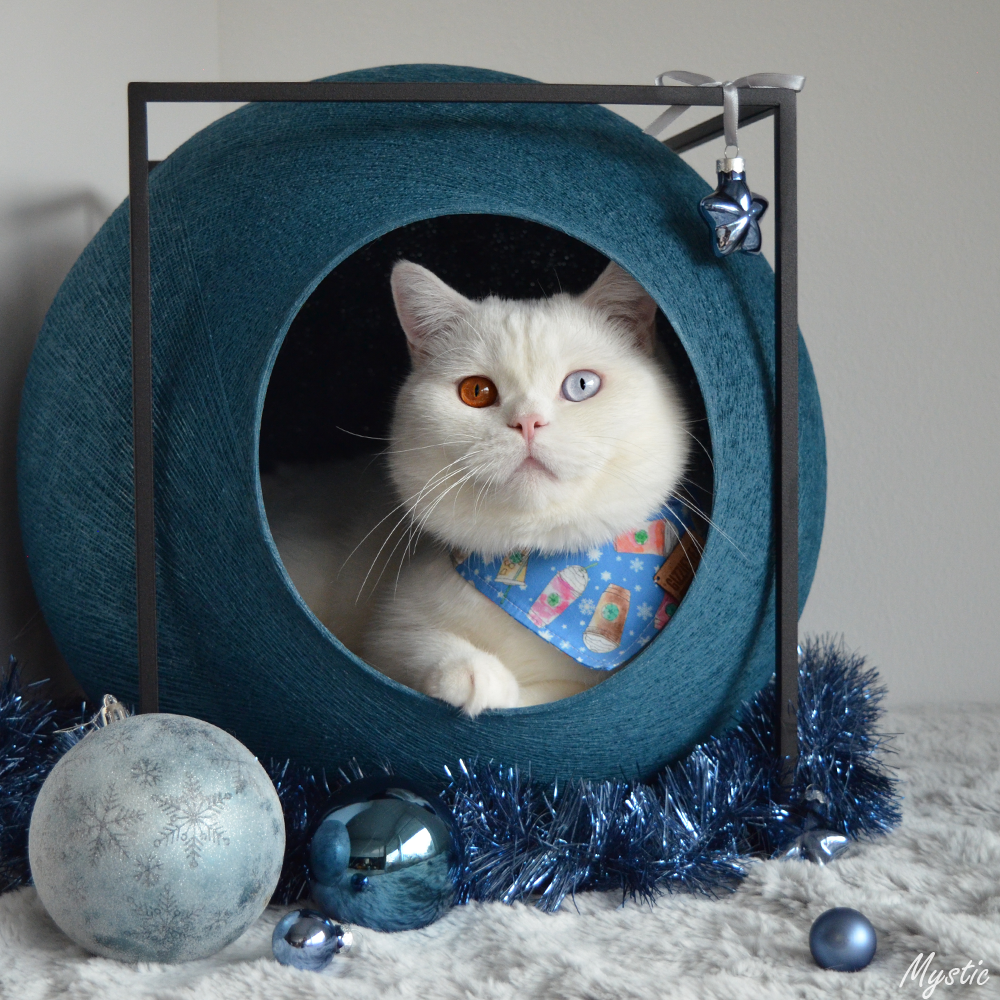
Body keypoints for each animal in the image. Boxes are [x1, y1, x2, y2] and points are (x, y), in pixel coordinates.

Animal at [262, 258, 692, 712]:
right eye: (476, 391)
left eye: (581, 385)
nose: (527, 422)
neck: (531, 566)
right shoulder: (387, 632)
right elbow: (409, 642)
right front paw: (470, 672)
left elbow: (551, 692)